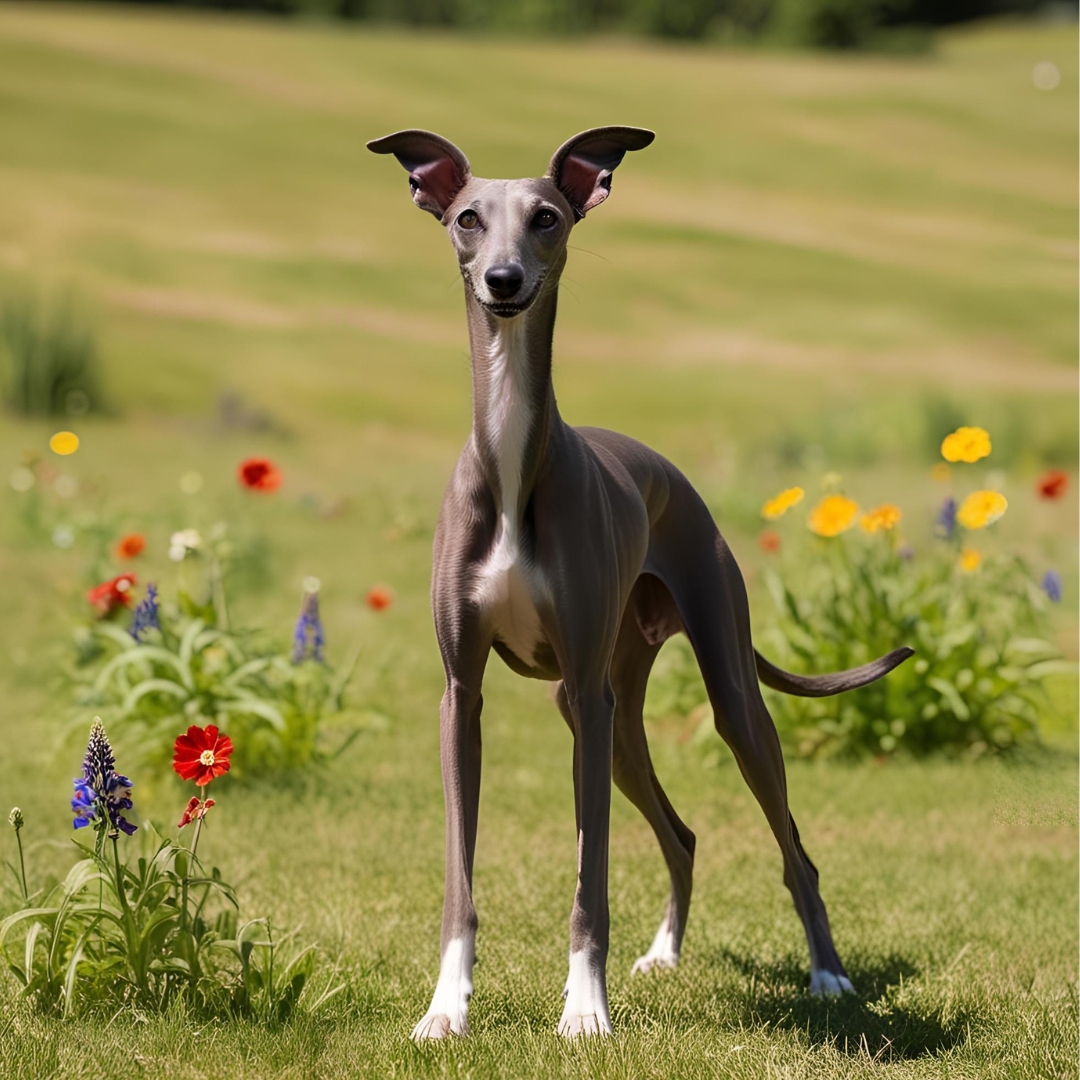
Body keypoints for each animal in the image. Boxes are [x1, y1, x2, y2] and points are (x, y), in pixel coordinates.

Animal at [365, 126, 911, 1036]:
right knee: (682, 835)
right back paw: (665, 954)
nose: (503, 281)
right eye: (468, 218)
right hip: (610, 712)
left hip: (718, 697)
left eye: (547, 217)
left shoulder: (587, 693)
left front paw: (585, 1011)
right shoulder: (462, 694)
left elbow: (591, 879)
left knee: (794, 849)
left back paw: (828, 975)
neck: (512, 465)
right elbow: (459, 878)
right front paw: (446, 1010)